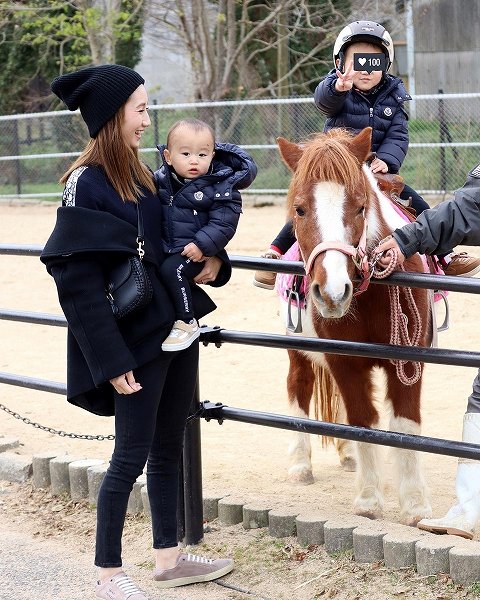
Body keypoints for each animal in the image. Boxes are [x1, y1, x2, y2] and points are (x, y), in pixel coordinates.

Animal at [276, 127, 434, 524]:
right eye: (299, 209)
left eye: (361, 207)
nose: (333, 292)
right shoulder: (344, 360)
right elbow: (363, 420)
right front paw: (368, 500)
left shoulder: (410, 360)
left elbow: (405, 424)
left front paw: (415, 505)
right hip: (296, 349)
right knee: (298, 387)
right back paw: (300, 465)